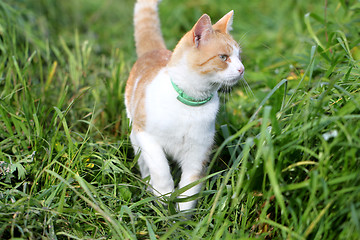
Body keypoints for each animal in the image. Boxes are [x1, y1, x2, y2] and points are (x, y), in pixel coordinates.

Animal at [124, 0, 245, 212]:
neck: (191, 103)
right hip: (135, 136)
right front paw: (164, 197)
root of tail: (153, 51)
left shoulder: (197, 155)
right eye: (223, 57)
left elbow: (189, 191)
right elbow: (160, 168)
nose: (242, 69)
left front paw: (179, 218)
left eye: (239, 56)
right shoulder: (146, 135)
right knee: (144, 163)